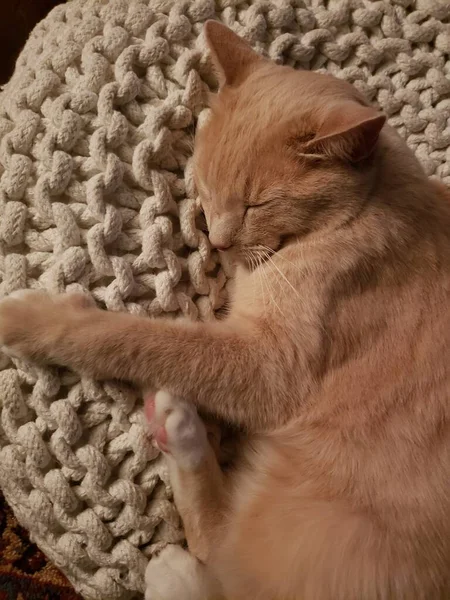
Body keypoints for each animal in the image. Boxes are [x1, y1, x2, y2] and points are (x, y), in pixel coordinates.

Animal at [0, 21, 450, 600]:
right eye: (206, 184)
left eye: (258, 204)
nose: (217, 240)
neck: (367, 207)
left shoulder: (270, 367)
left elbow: (143, 338)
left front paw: (36, 317)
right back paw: (180, 430)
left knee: (222, 560)